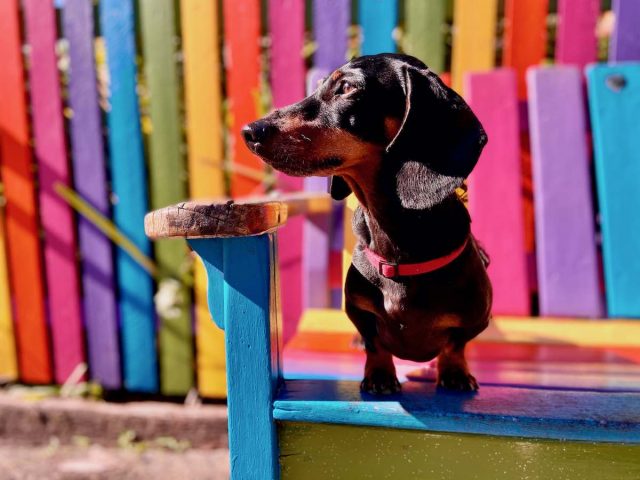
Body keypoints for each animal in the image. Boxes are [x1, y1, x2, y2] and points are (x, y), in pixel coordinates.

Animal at [242, 52, 492, 394]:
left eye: (347, 88)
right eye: (320, 85)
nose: (250, 131)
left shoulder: (476, 318)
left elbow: (455, 345)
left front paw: (454, 371)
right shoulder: (358, 310)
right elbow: (375, 342)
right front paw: (380, 374)